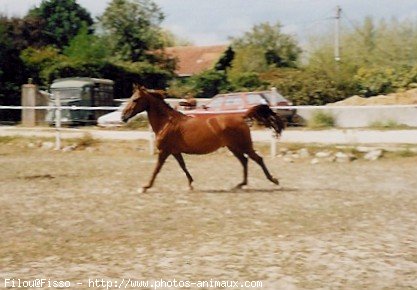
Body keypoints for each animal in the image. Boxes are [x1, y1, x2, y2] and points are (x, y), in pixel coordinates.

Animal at [122, 85, 284, 193]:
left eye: (135, 99)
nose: (123, 116)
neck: (166, 122)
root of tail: (241, 117)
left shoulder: (164, 151)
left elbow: (157, 169)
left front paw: (145, 187)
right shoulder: (175, 151)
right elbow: (183, 166)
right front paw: (191, 184)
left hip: (244, 146)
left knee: (258, 159)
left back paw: (274, 180)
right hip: (233, 147)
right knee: (244, 161)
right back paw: (240, 184)